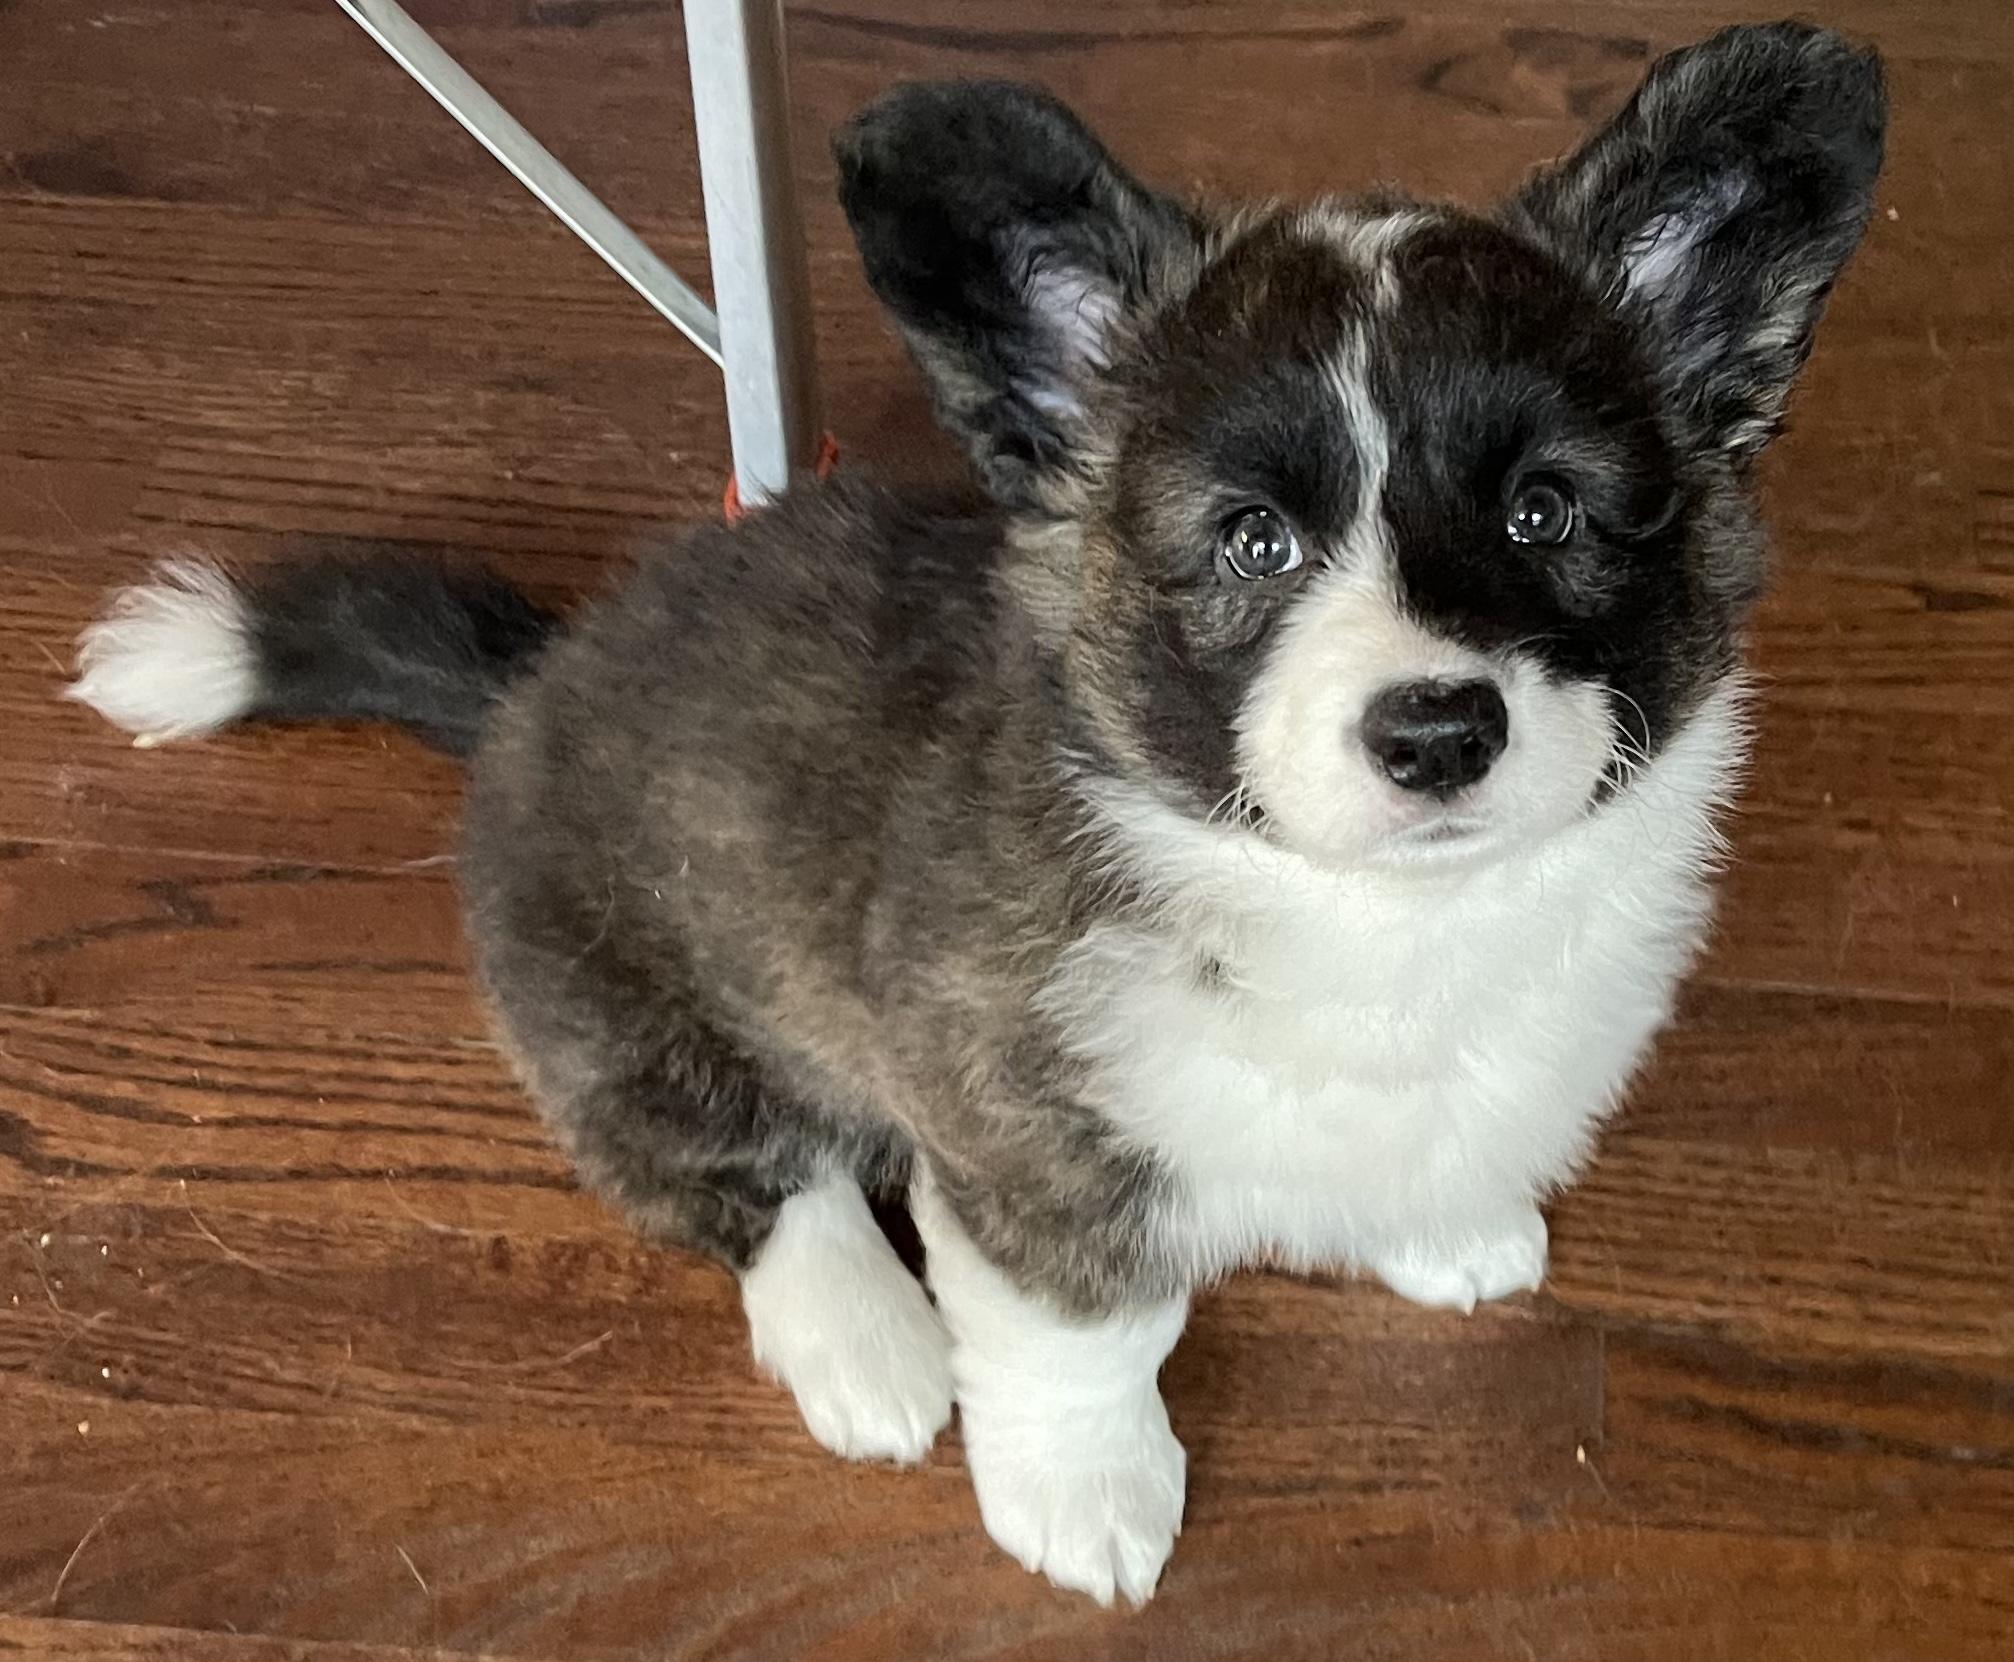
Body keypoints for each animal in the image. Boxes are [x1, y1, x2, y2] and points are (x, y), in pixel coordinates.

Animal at [69, 22, 1885, 1604]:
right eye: (1251, 542)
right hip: (623, 1002)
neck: (1364, 912)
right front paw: (1085, 1497)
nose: (1436, 728)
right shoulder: (1028, 1153)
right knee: (752, 1175)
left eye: (1543, 514)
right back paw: (867, 1345)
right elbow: (1089, 1336)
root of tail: (534, 677)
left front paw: (1441, 1228)